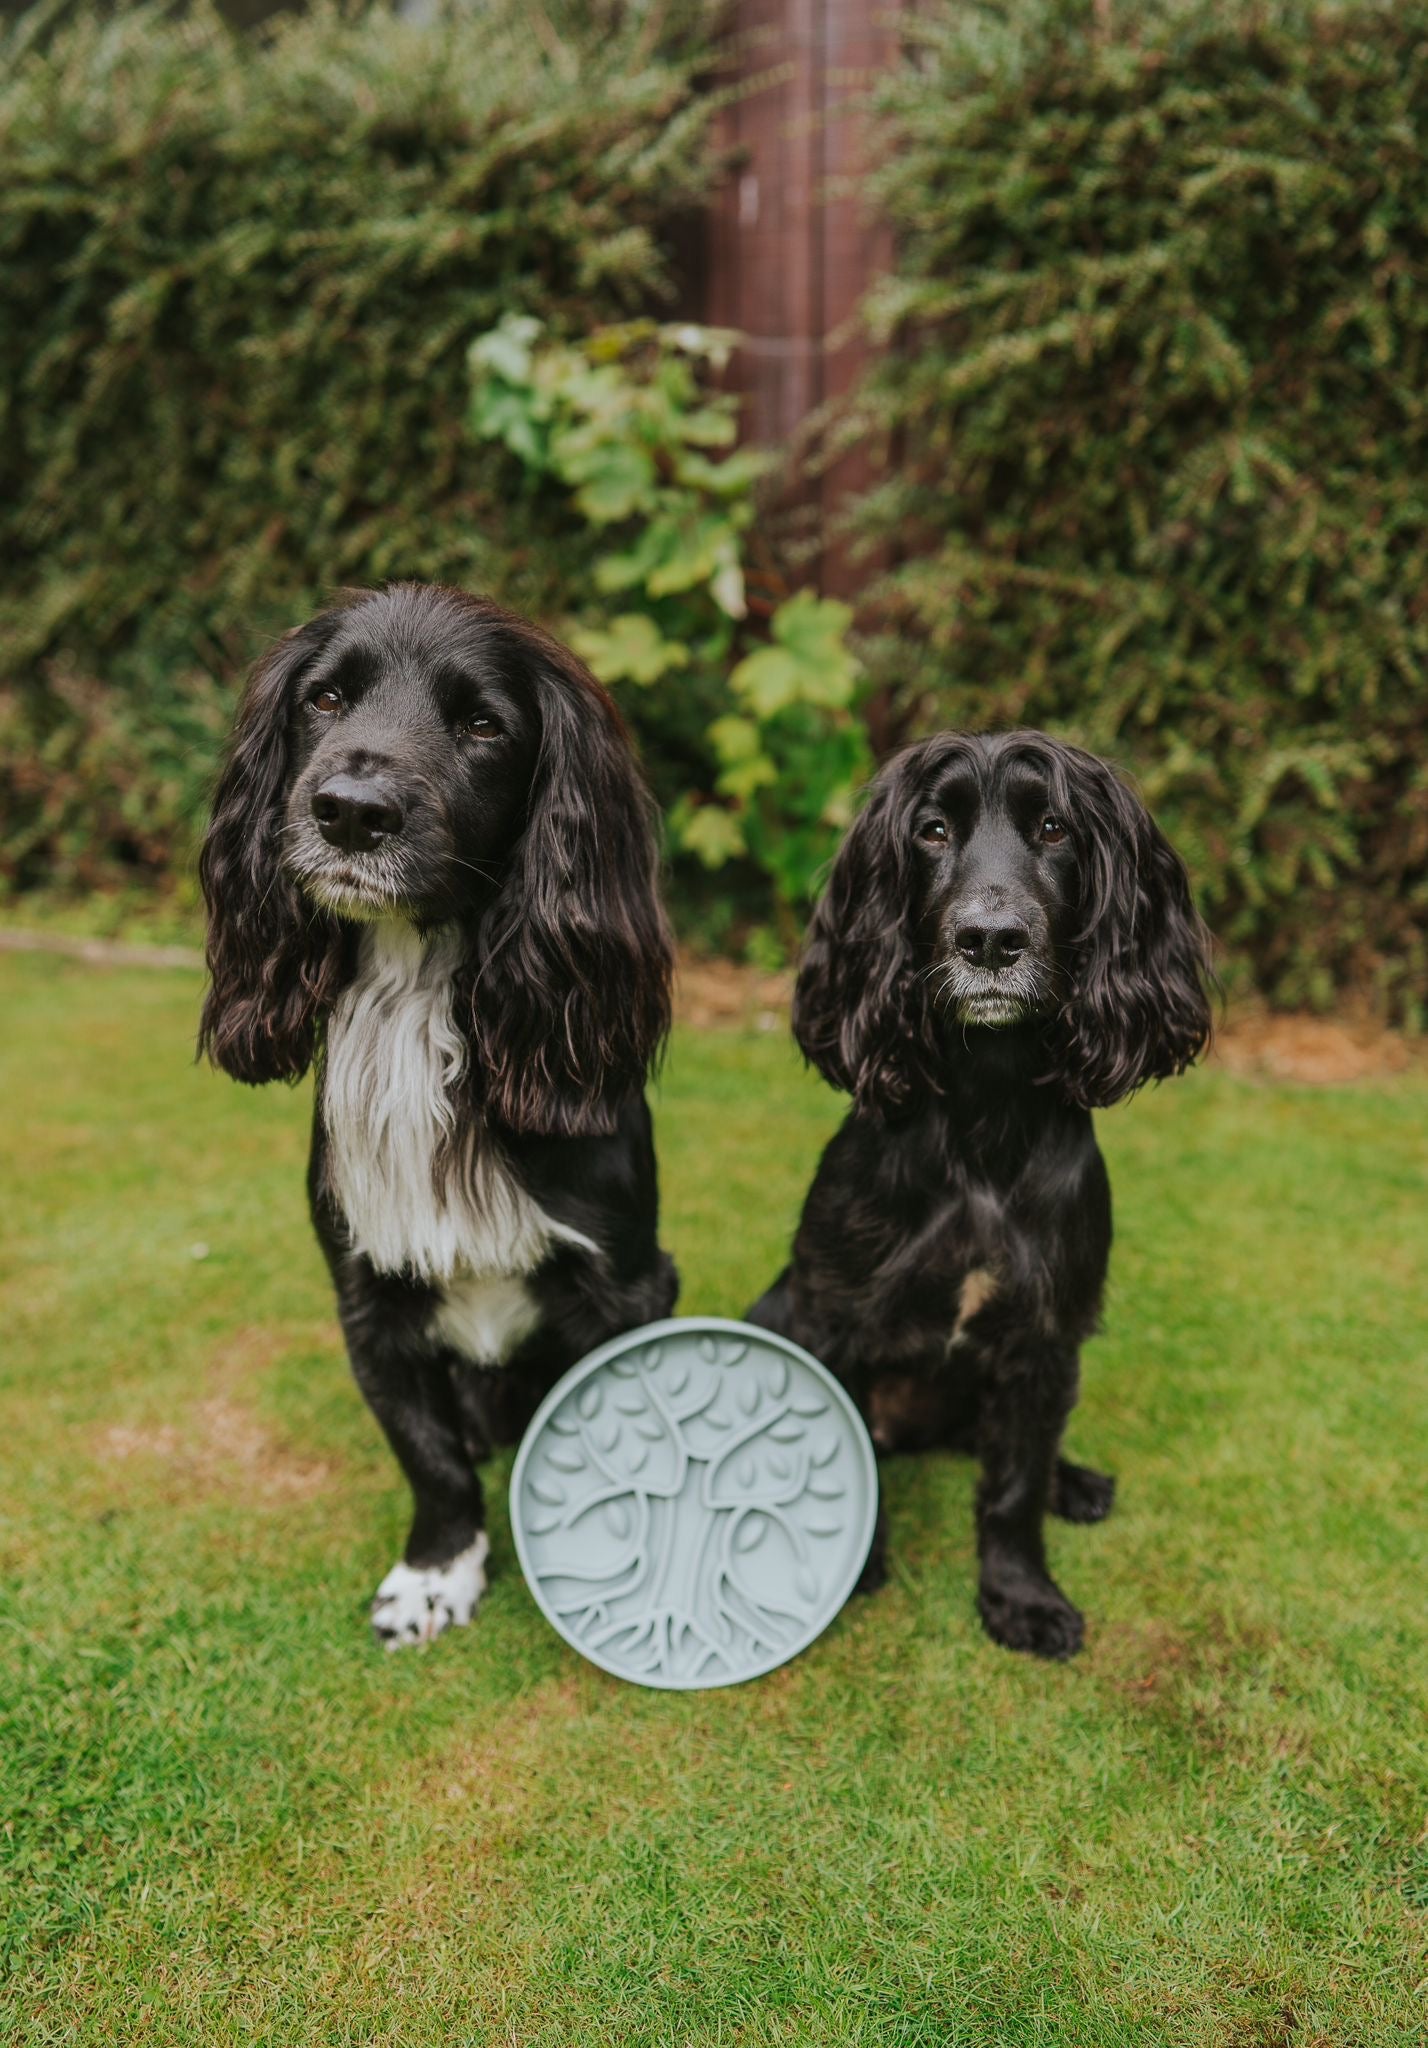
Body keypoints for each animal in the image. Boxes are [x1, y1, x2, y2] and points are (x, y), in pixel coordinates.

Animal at [198, 577, 680, 1646]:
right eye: (326, 700)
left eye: (483, 726)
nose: (349, 812)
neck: (420, 999)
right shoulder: (368, 1297)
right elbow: (431, 1456)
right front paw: (434, 1575)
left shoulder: (626, 1284)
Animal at [753, 737, 1204, 1662]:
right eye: (931, 830)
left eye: (1055, 827)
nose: (990, 940)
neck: (984, 1125)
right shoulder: (831, 1314)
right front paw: (857, 1565)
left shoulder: (1042, 1335)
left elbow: (1013, 1486)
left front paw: (1020, 1596)